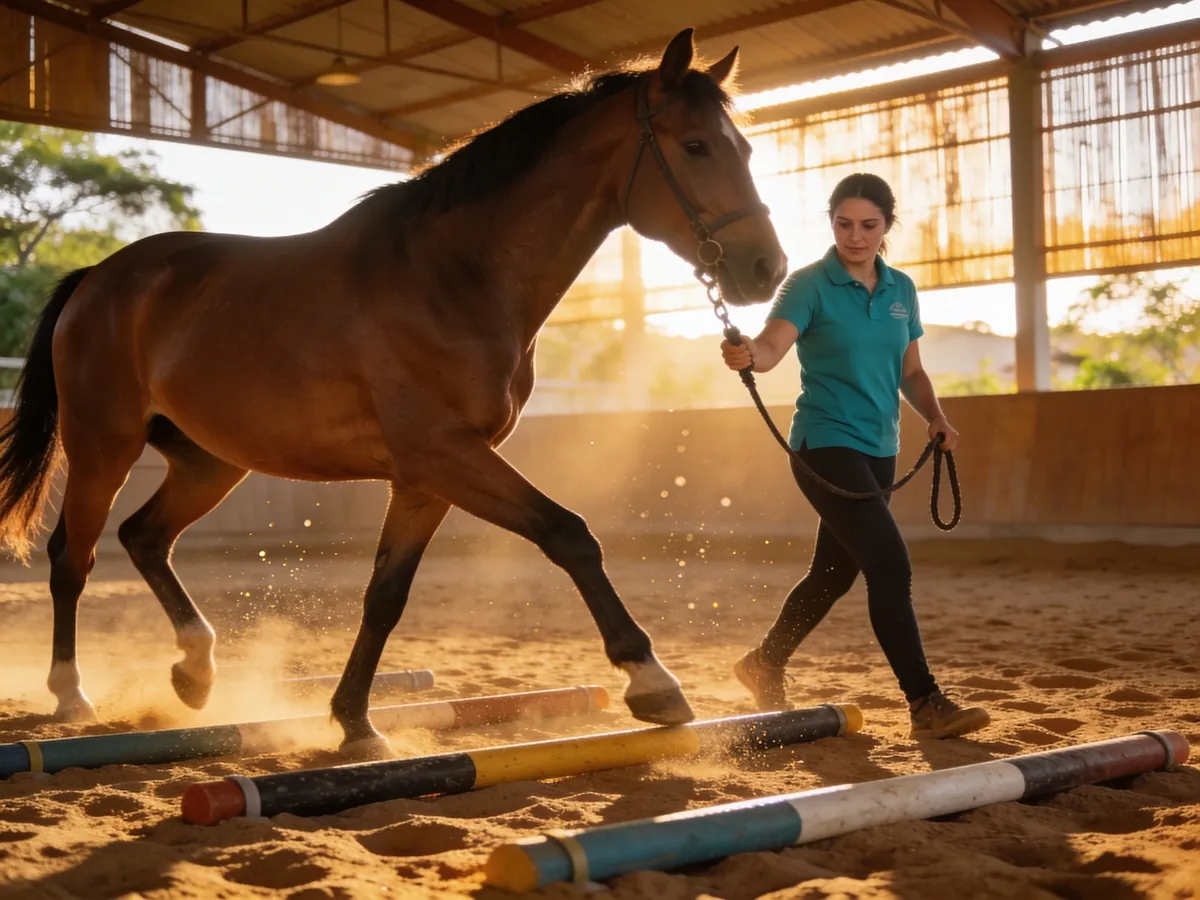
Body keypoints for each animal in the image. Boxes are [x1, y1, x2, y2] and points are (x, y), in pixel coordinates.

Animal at [0, 28, 786, 758]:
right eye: (695, 146)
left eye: (745, 151)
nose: (766, 269)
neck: (453, 277)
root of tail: (98, 278)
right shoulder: (443, 456)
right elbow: (570, 535)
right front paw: (653, 682)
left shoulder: (426, 478)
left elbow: (385, 595)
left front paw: (354, 723)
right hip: (103, 448)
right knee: (74, 557)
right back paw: (72, 694)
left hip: (209, 461)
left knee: (144, 537)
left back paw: (195, 672)